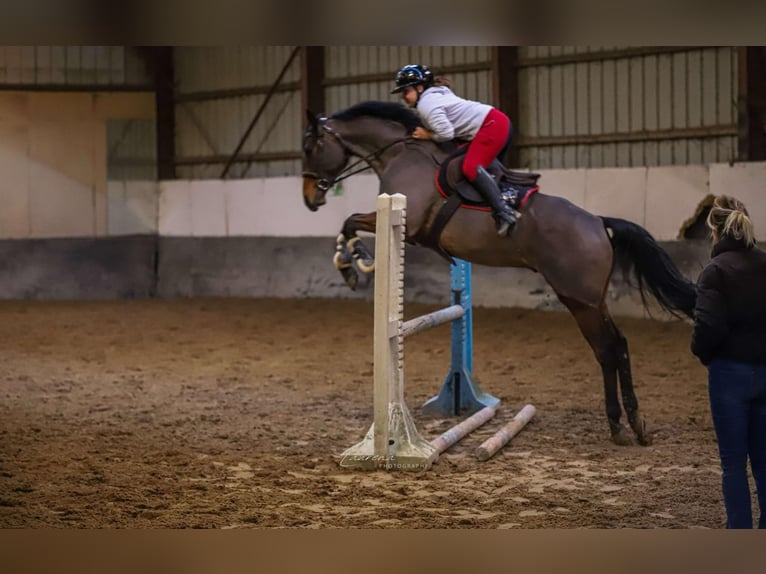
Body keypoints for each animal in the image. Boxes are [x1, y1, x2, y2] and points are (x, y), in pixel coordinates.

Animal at [304, 101, 700, 448]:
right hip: (592, 298)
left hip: (578, 299)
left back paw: (620, 424)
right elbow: (349, 222)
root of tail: (598, 222)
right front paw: (351, 261)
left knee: (606, 348)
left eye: (312, 147)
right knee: (618, 345)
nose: (310, 199)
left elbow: (350, 220)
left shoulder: (409, 223)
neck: (400, 152)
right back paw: (634, 424)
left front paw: (353, 262)